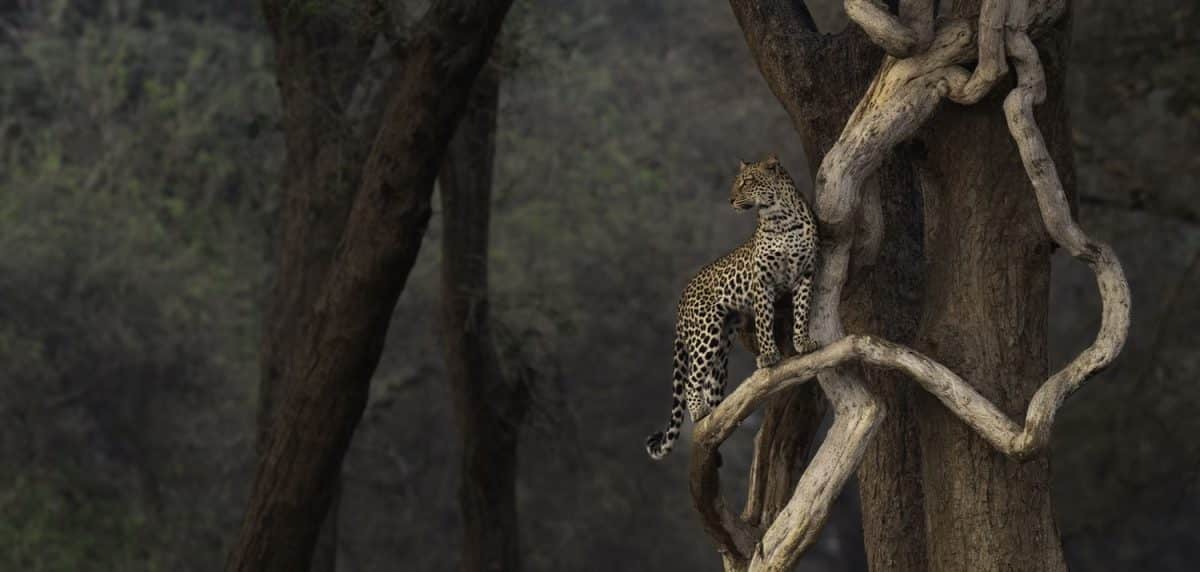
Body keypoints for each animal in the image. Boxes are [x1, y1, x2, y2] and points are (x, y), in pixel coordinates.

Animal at [643, 154, 820, 460]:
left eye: (746, 182)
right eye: (736, 183)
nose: (730, 199)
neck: (781, 219)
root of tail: (681, 299)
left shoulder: (806, 273)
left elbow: (802, 311)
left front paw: (803, 342)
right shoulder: (763, 282)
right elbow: (764, 322)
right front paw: (769, 355)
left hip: (723, 347)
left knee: (709, 385)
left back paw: (717, 418)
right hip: (706, 333)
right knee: (691, 379)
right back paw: (700, 412)